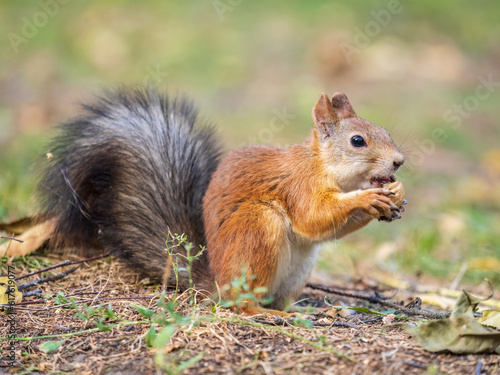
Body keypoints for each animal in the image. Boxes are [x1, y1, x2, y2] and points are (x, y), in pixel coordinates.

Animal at [2, 88, 406, 318]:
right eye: (357, 141)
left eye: (385, 132)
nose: (399, 162)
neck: (323, 166)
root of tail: (216, 282)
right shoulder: (298, 187)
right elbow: (313, 218)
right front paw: (370, 197)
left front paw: (392, 201)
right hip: (258, 229)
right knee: (240, 304)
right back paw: (268, 314)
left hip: (299, 269)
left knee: (280, 297)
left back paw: (311, 311)